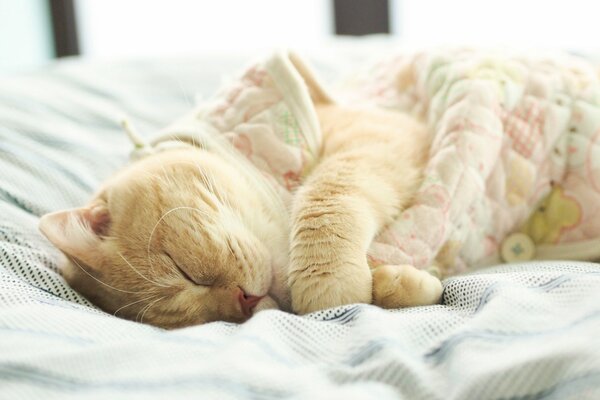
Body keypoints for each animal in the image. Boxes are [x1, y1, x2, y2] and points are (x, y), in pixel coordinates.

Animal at [37, 103, 440, 328]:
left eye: (185, 270)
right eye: (204, 320)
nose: (244, 302)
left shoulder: (380, 134)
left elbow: (327, 195)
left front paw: (331, 282)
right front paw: (397, 282)